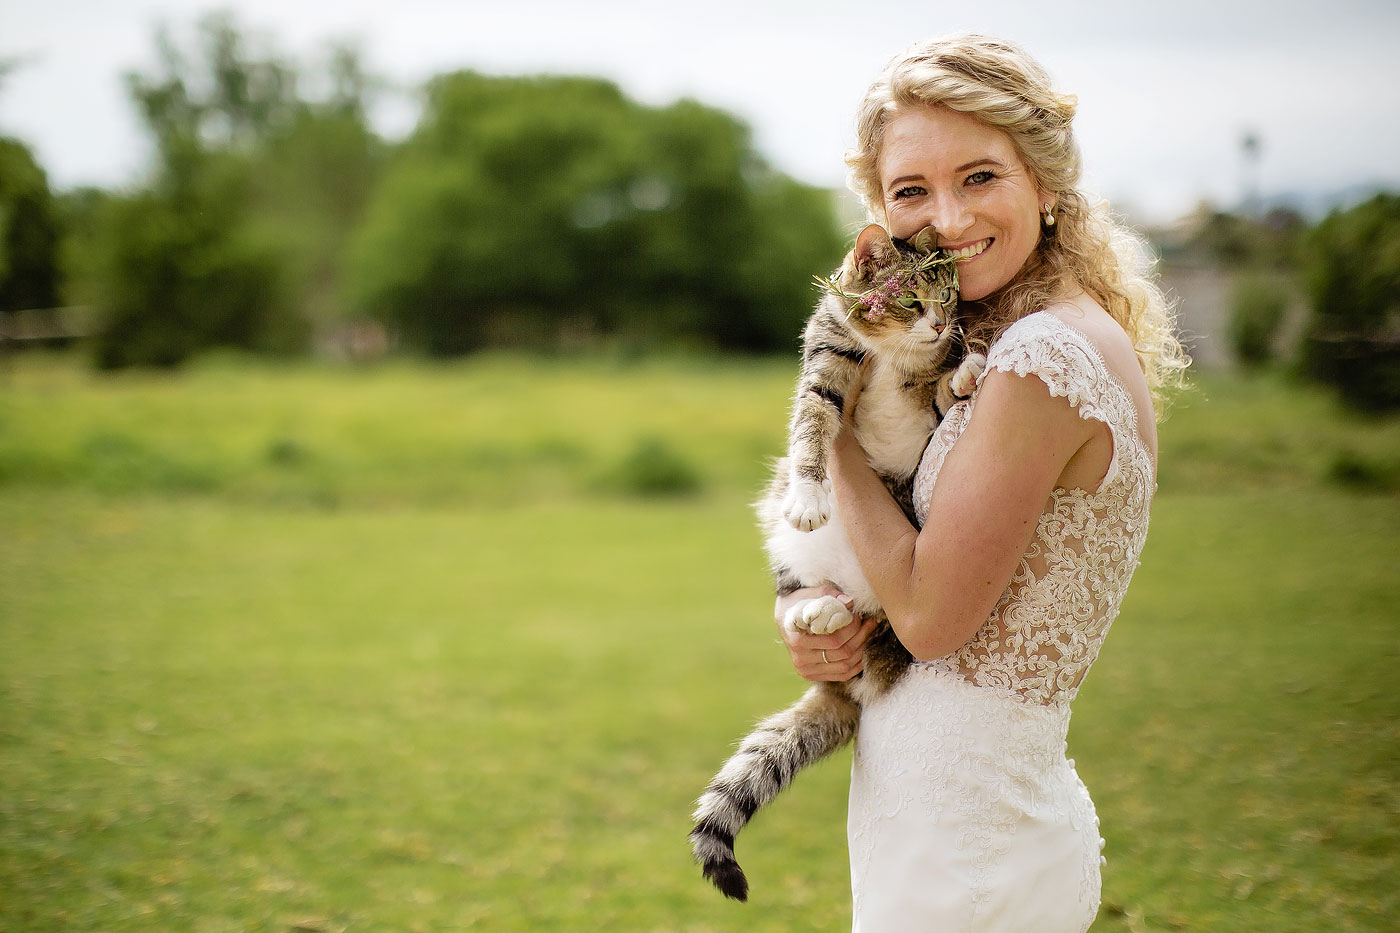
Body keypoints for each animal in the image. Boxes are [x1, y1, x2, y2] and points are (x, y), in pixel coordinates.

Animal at [688, 221, 985, 896]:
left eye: (950, 298)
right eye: (911, 300)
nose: (940, 325)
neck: (893, 356)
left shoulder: (929, 409)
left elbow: (942, 394)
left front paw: (965, 369)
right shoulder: (826, 364)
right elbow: (813, 427)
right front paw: (809, 495)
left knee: (876, 637)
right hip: (794, 557)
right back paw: (815, 613)